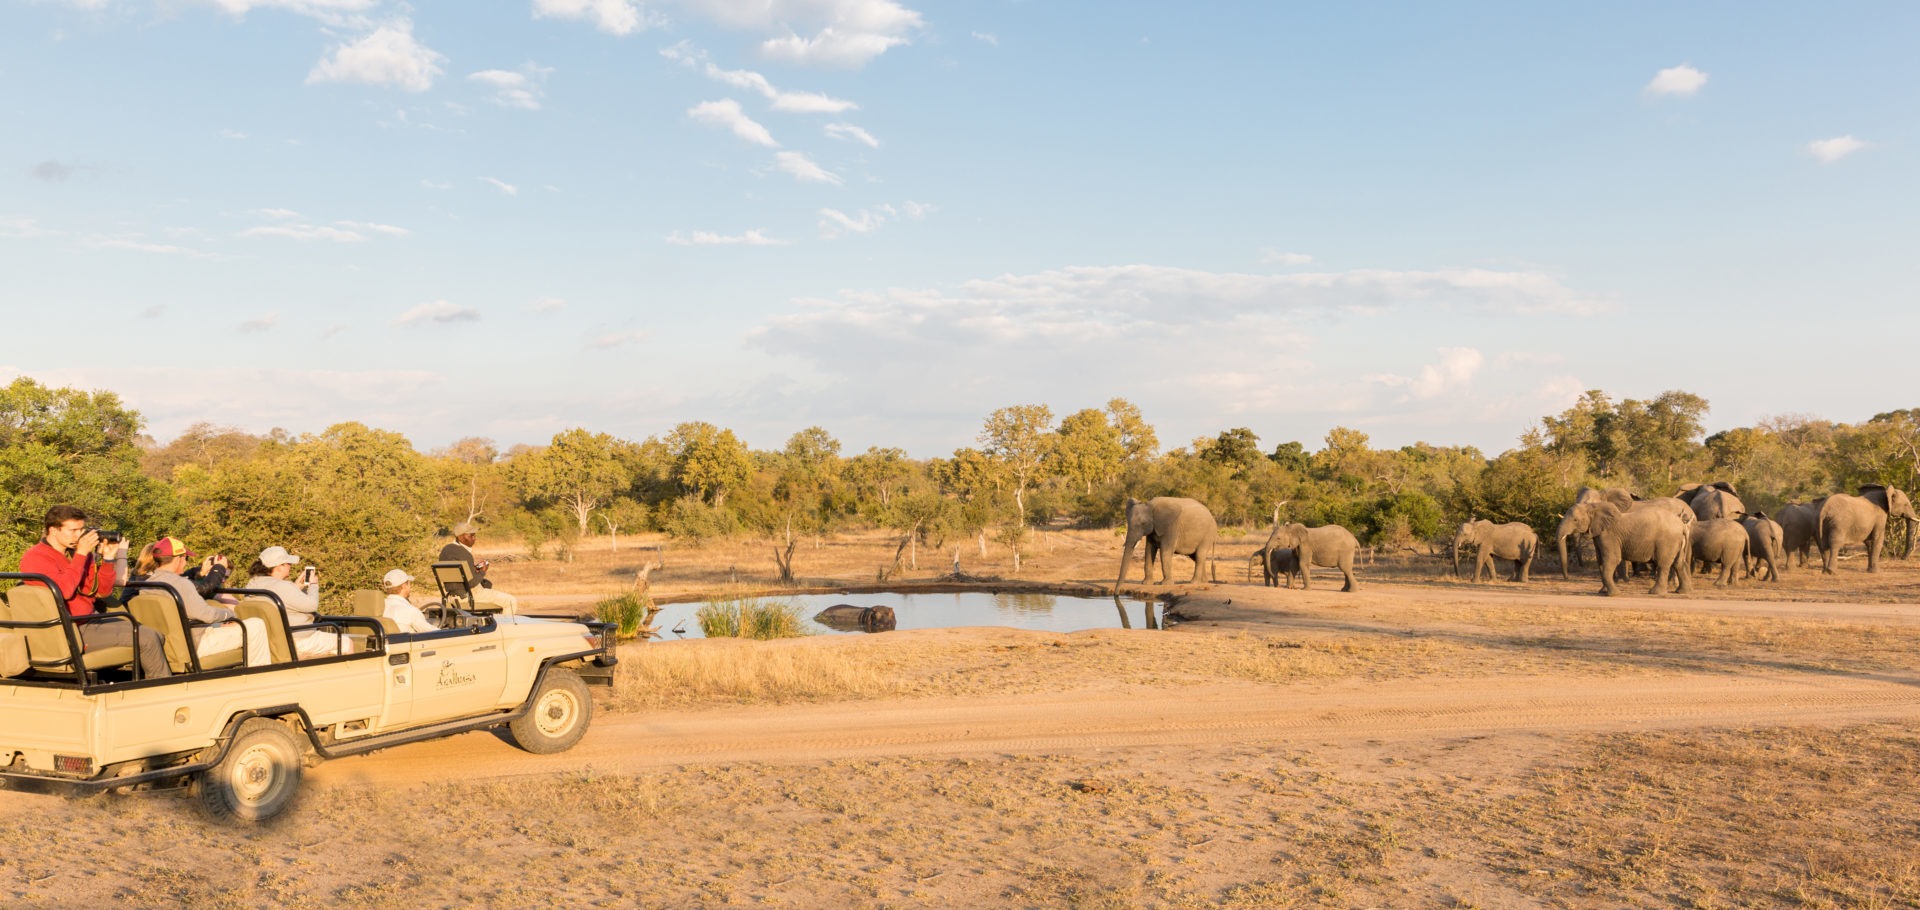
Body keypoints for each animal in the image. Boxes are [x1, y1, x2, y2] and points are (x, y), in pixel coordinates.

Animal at [1555, 500, 1692, 597]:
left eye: (1575, 520)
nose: (1568, 578)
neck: (1593, 506)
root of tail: (1682, 526)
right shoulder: (1599, 537)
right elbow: (1601, 562)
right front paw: (1602, 591)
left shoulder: (1609, 536)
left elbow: (1611, 560)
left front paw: (1613, 594)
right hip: (1677, 542)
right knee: (1679, 563)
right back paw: (1681, 592)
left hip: (1667, 541)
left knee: (1663, 564)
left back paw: (1655, 593)